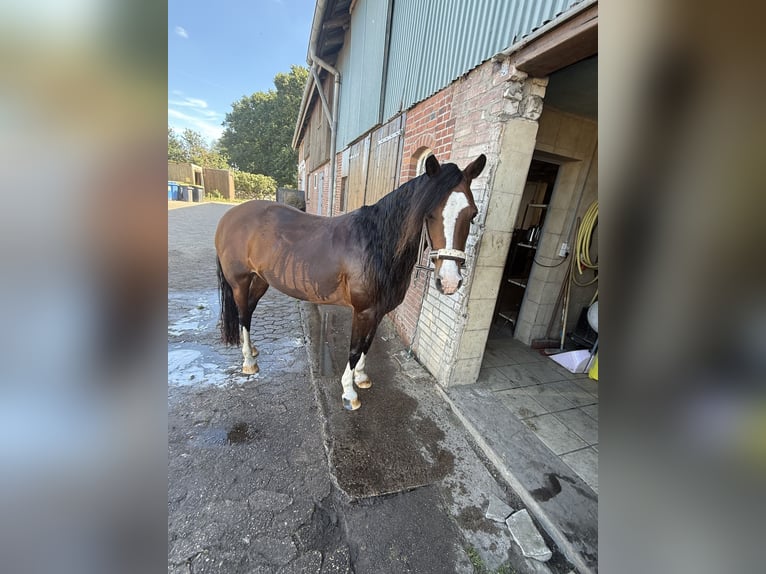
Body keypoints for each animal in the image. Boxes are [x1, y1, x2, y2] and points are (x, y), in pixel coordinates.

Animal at [215, 153, 486, 410]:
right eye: (429, 214)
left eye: (472, 214)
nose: (449, 281)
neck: (376, 245)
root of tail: (229, 216)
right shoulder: (363, 311)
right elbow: (355, 349)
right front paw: (349, 393)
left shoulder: (378, 311)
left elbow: (367, 345)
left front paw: (362, 378)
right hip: (240, 282)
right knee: (243, 314)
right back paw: (249, 361)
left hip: (261, 280)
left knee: (248, 312)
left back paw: (253, 349)